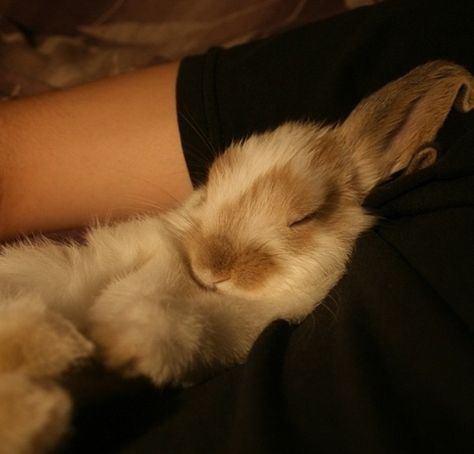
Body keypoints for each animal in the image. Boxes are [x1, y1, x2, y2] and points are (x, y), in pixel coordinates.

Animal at [0, 60, 472, 454]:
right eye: (208, 187)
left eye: (305, 217)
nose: (211, 267)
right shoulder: (142, 252)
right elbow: (140, 279)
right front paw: (91, 342)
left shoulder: (231, 329)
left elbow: (168, 319)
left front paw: (124, 348)